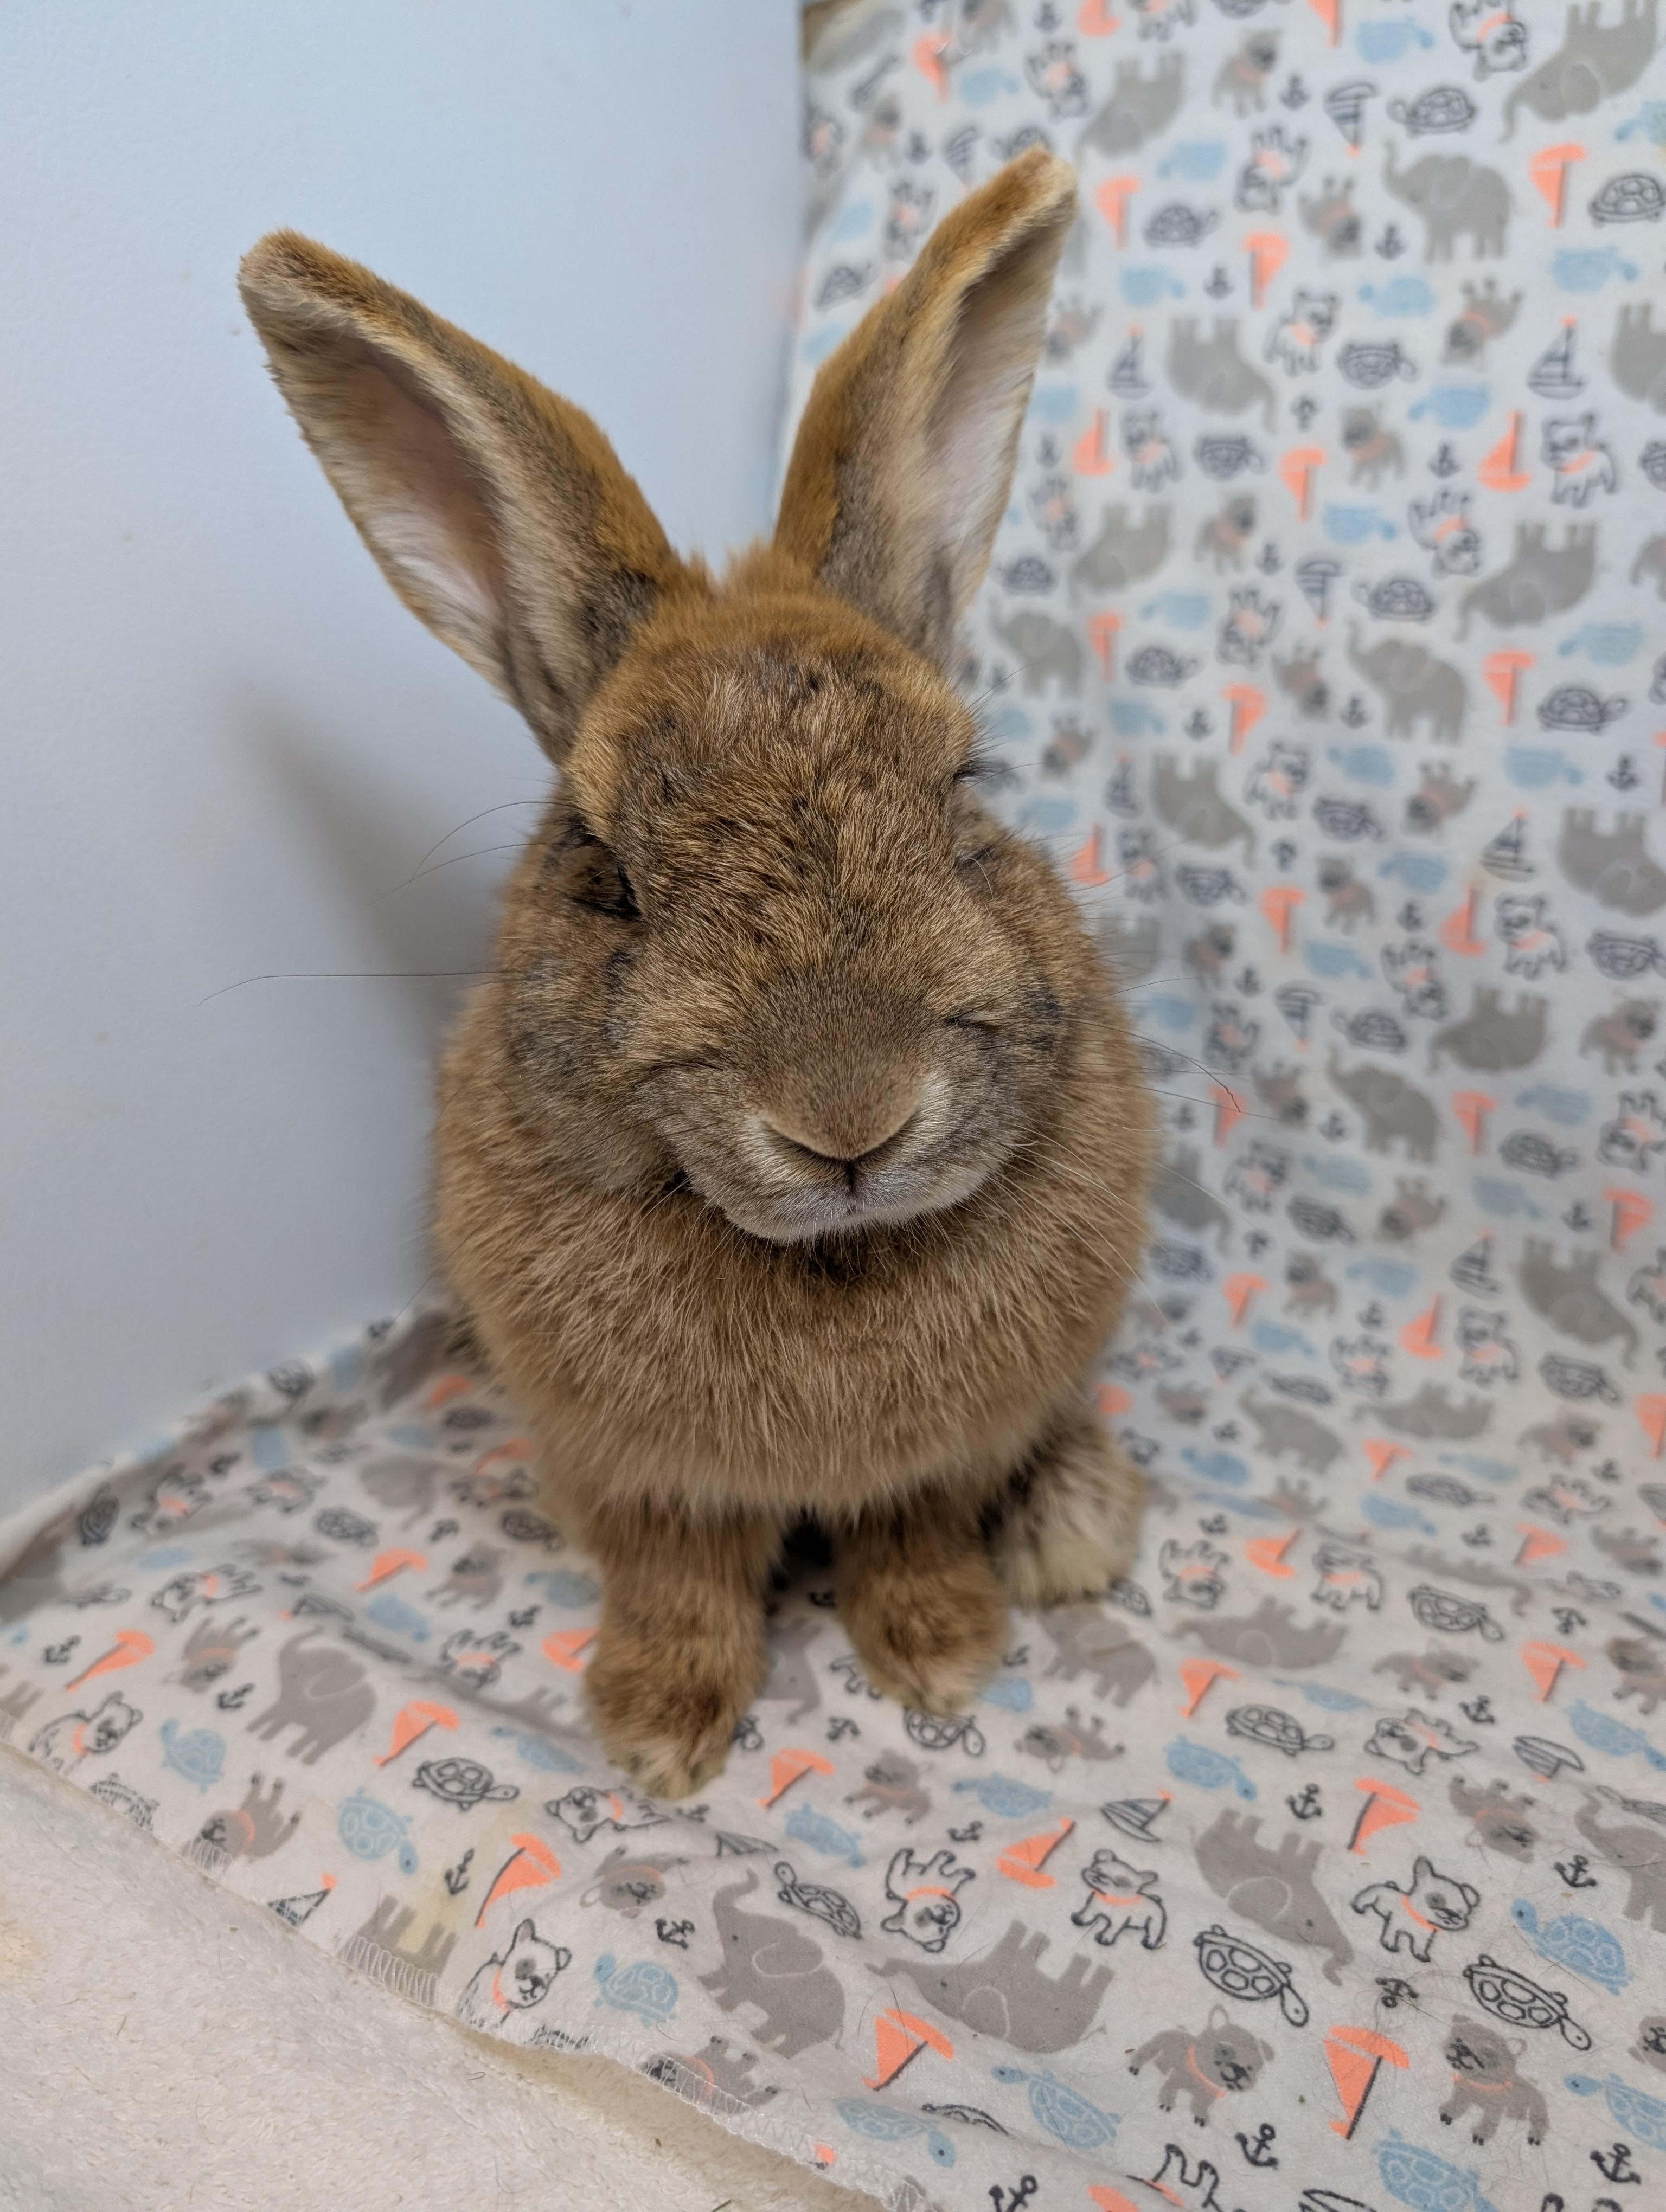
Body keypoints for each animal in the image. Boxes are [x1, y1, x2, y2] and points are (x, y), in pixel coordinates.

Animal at [237, 150, 1155, 1799]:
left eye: (963, 796)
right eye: (601, 868)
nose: (849, 1117)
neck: (826, 1263)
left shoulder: (938, 1460)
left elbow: (913, 1537)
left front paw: (941, 1654)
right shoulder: (632, 1476)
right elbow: (676, 1582)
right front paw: (658, 1733)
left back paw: (1069, 1523)